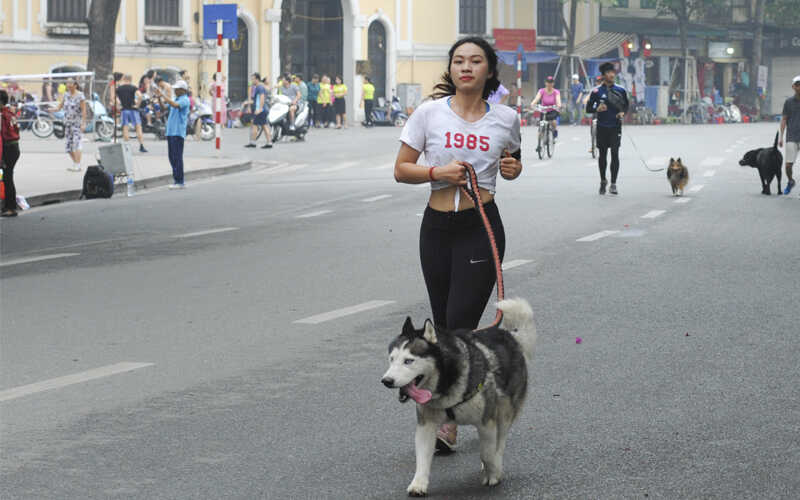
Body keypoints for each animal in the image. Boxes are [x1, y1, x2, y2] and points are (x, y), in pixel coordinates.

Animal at [382, 296, 536, 496]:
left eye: (409, 361)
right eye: (392, 359)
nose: (386, 380)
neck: (445, 384)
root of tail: (509, 335)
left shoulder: (486, 421)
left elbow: (487, 453)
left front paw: (493, 472)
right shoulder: (426, 424)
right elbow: (422, 456)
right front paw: (419, 483)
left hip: (504, 411)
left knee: (499, 442)